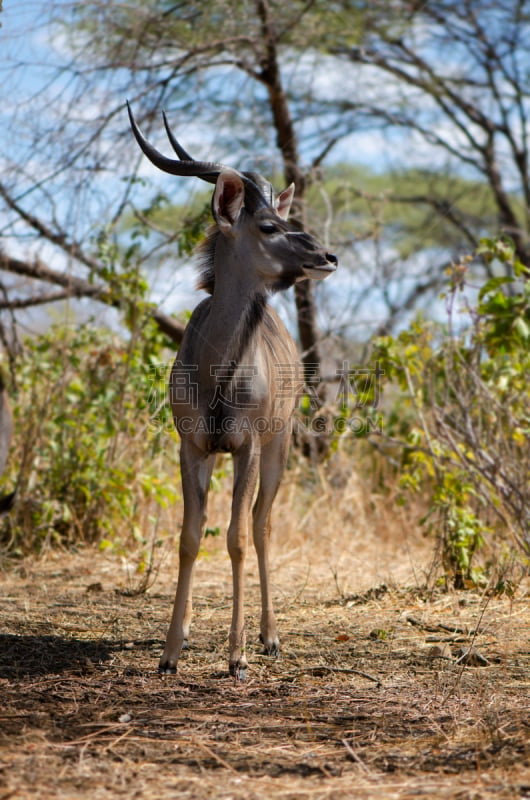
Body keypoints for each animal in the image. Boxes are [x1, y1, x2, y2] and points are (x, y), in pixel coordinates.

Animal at [127, 103, 334, 680]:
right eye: (269, 225)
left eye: (283, 219)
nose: (327, 256)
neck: (216, 370)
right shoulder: (193, 448)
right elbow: (189, 537)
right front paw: (170, 652)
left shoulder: (247, 448)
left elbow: (238, 538)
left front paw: (237, 654)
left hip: (279, 445)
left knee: (262, 524)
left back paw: (269, 637)